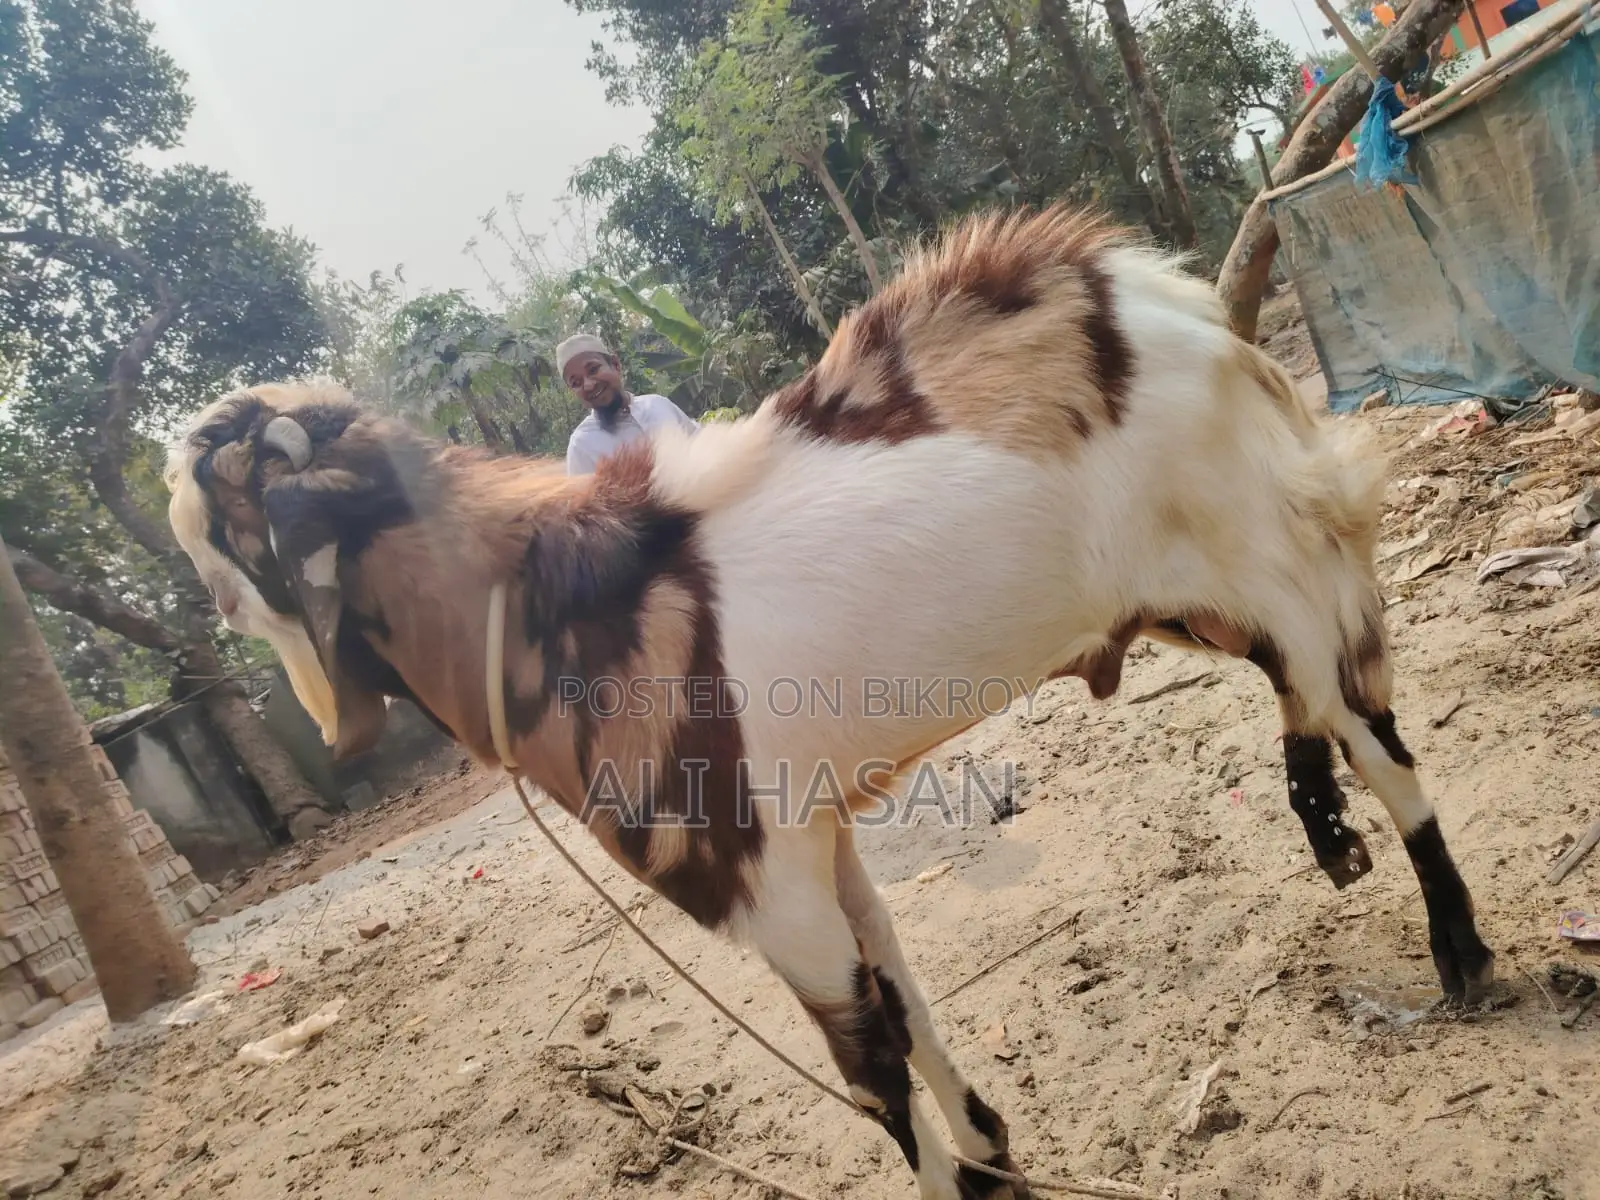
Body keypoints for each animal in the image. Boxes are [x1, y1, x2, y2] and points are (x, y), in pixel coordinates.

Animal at [165, 206, 1493, 1200]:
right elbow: (896, 982)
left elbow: (868, 1065)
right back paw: (1322, 826)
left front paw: (963, 1173)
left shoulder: (766, 889)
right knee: (1294, 686)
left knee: (1373, 731)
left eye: (232, 524)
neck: (548, 610)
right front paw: (993, 1154)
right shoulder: (819, 844)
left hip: (1263, 547)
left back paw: (1459, 952)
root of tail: (1159, 299)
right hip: (1190, 594)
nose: (216, 623)